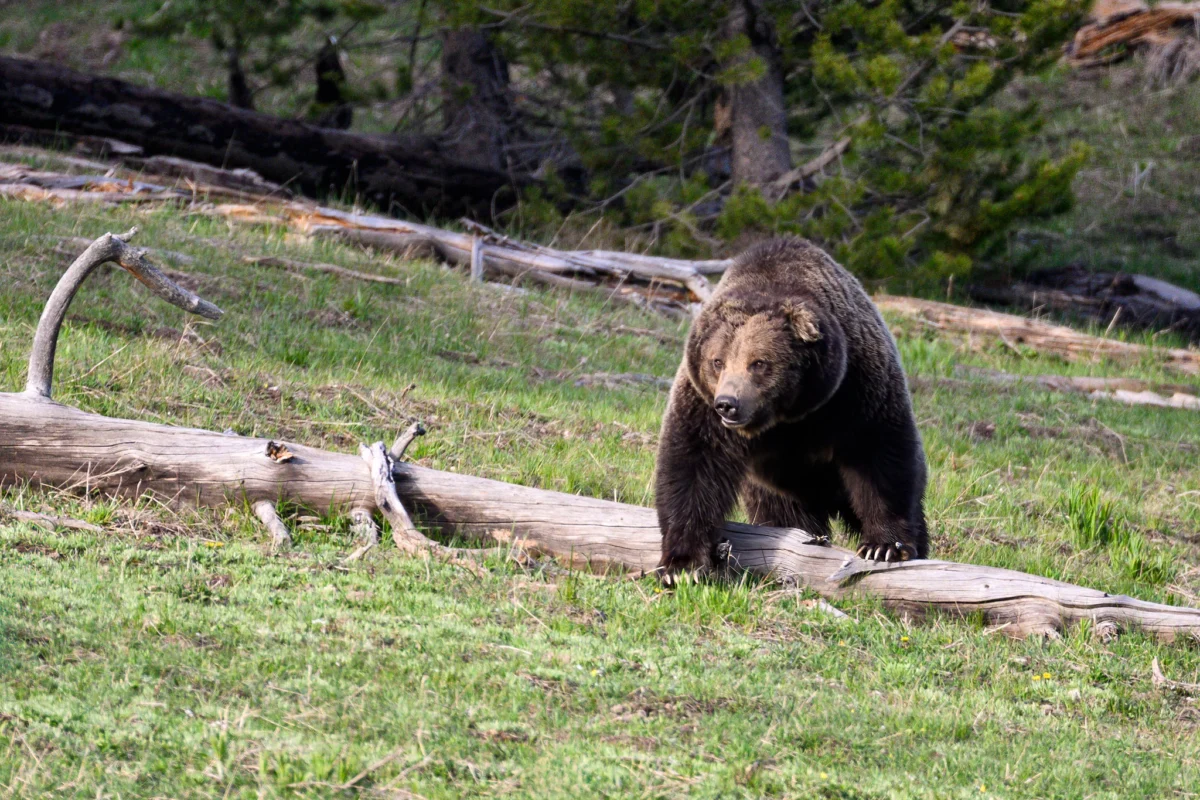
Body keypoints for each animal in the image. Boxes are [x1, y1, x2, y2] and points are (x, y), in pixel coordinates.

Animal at [655, 237, 928, 580]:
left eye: (758, 363)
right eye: (717, 361)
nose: (728, 404)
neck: (789, 414)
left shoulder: (856, 391)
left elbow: (878, 457)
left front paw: (885, 545)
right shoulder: (703, 407)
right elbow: (693, 464)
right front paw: (683, 564)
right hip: (776, 489)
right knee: (785, 513)